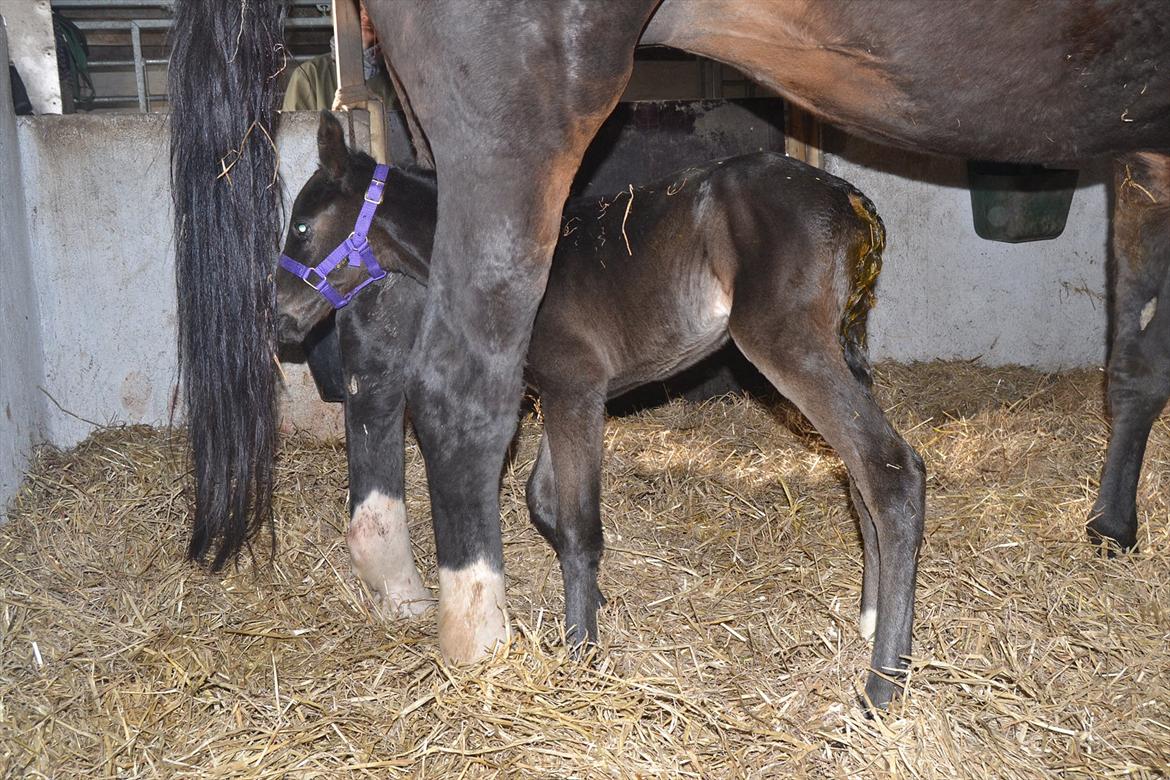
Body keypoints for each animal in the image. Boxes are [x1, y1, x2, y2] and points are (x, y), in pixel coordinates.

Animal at [278, 117, 926, 706]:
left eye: (302, 226)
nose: (280, 319)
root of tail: (851, 200)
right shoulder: (564, 391)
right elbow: (546, 503)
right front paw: (595, 605)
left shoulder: (576, 390)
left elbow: (580, 524)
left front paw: (581, 651)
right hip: (842, 349)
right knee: (859, 478)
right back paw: (870, 621)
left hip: (788, 345)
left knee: (890, 470)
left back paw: (883, 684)